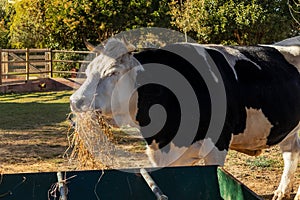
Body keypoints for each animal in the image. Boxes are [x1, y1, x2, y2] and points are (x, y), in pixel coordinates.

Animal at [69, 36, 300, 200]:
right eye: (88, 72)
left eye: (112, 73)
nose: (75, 101)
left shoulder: (217, 146)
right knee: (291, 153)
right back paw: (281, 192)